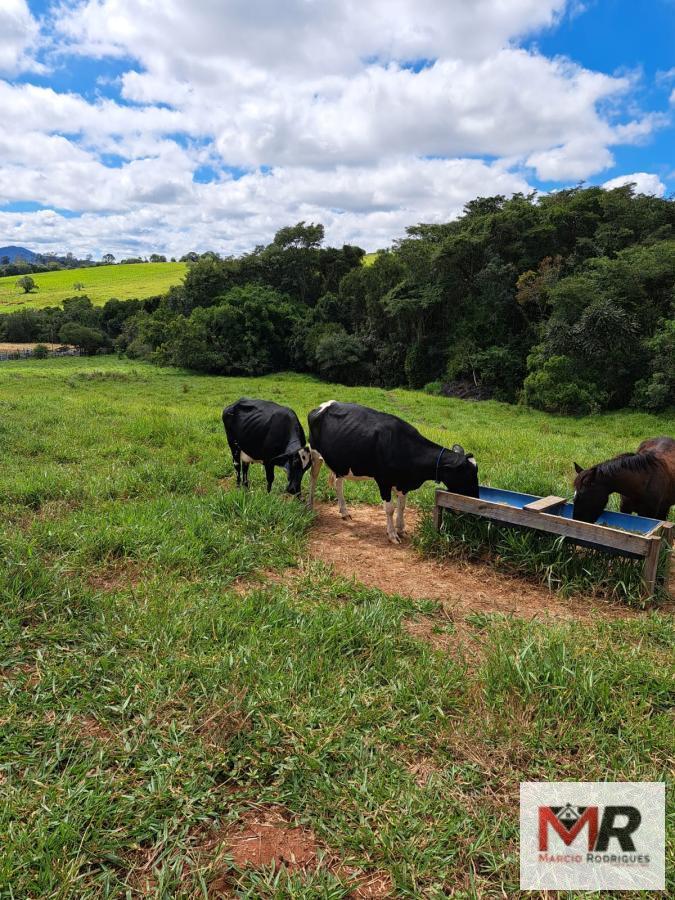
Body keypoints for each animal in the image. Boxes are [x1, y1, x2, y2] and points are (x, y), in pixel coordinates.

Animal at [306, 400, 480, 540]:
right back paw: (309, 505)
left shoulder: (404, 482)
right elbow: (389, 509)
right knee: (313, 478)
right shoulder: (383, 480)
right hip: (315, 453)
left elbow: (401, 506)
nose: (476, 498)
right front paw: (392, 534)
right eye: (468, 475)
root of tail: (322, 406)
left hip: (341, 462)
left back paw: (344, 512)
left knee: (338, 483)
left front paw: (401, 529)